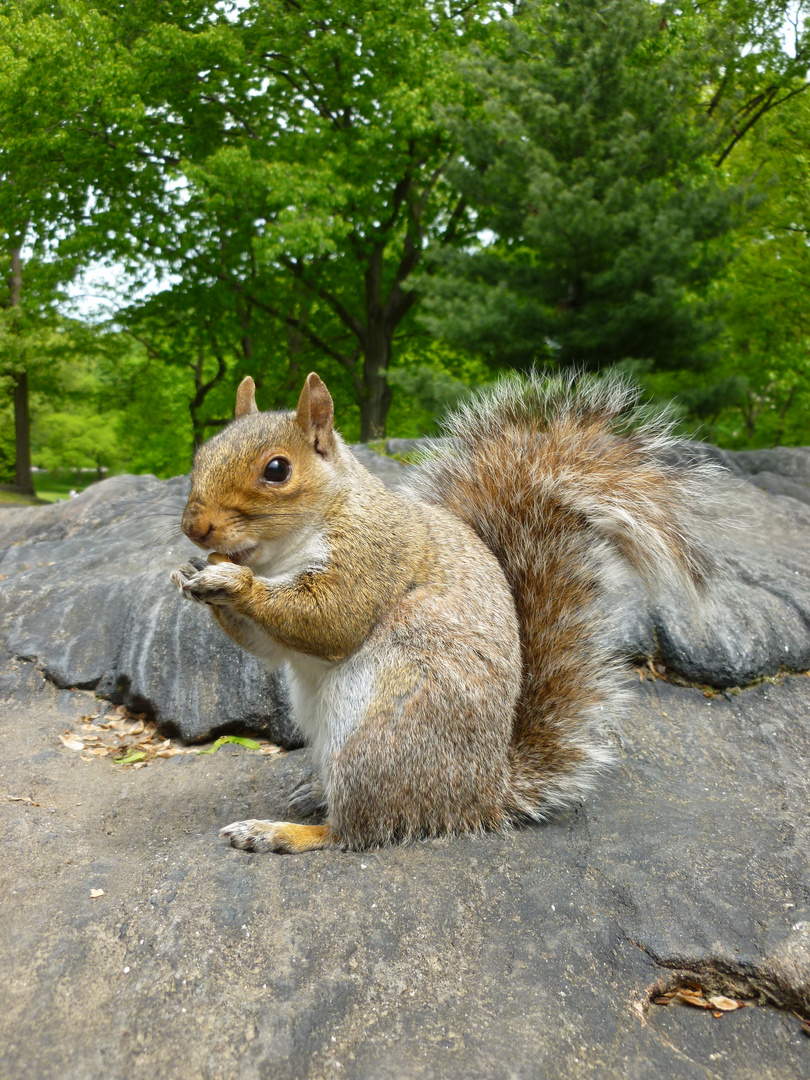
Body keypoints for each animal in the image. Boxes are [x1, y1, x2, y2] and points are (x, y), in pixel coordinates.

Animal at [169, 371, 717, 851]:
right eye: (203, 452)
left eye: (277, 469)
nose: (195, 528)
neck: (280, 555)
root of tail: (483, 795)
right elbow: (266, 646)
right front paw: (193, 575)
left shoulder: (373, 554)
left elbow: (332, 620)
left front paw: (229, 580)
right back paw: (312, 792)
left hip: (379, 740)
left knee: (357, 831)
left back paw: (278, 832)